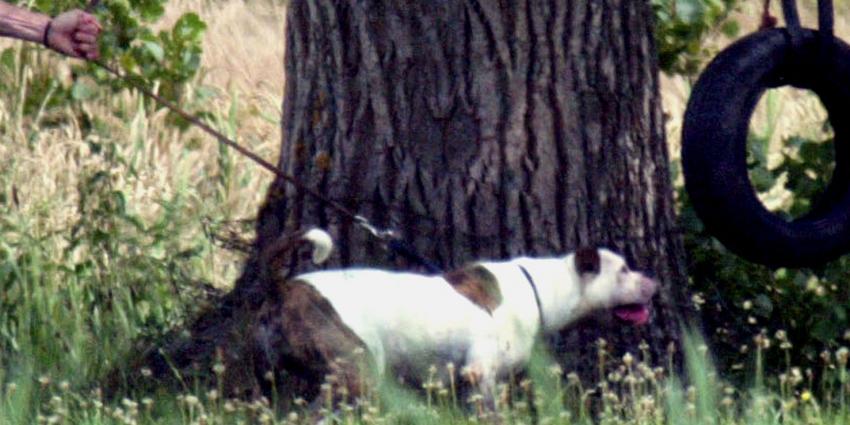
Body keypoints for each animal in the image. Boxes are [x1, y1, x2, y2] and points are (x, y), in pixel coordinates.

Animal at [252, 229, 656, 408]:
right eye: (623, 270)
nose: (655, 283)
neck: (540, 288)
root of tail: (283, 288)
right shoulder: (480, 373)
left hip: (279, 382)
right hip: (355, 373)